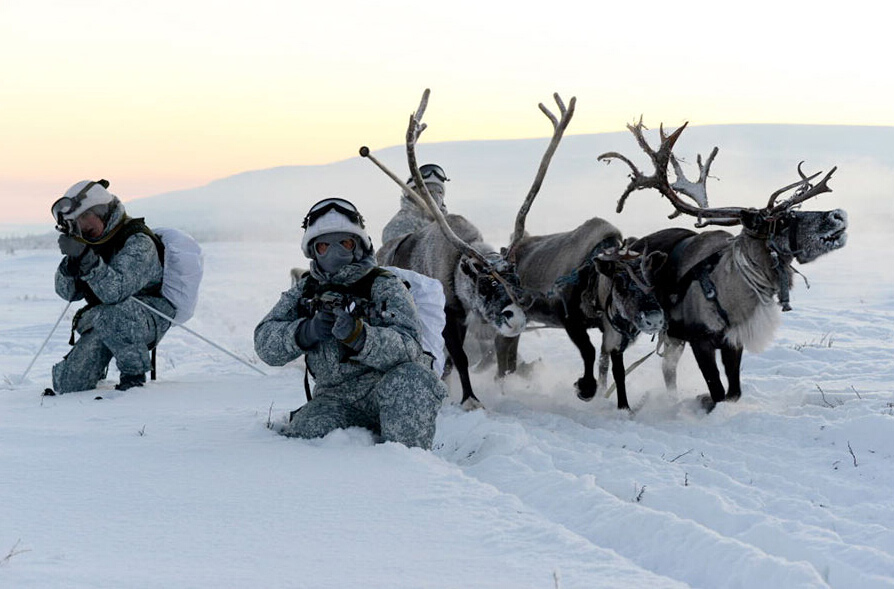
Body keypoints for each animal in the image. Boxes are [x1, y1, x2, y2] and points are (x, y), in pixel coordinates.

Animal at [362, 89, 574, 410]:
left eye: (516, 279)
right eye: (484, 284)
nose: (516, 317)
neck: (457, 265)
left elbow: (453, 360)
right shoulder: (450, 315)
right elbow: (459, 358)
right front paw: (470, 400)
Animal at [599, 120, 848, 412]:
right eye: (783, 221)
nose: (838, 215)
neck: (731, 292)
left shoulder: (732, 341)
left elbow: (733, 391)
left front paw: (703, 399)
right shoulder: (700, 340)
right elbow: (717, 390)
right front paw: (703, 399)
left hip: (671, 337)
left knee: (667, 369)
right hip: (625, 322)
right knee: (609, 357)